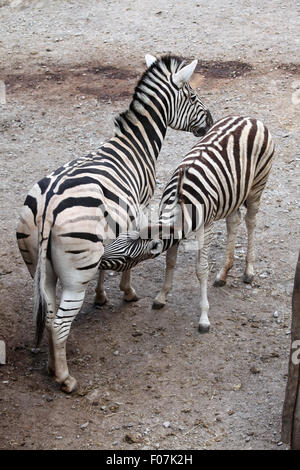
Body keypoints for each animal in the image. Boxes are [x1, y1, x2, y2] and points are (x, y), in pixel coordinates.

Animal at [16, 54, 213, 392]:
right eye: (191, 96)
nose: (211, 120)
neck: (135, 144)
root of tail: (48, 206)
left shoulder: (109, 227)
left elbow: (108, 260)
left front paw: (101, 295)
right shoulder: (140, 206)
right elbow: (131, 255)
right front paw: (127, 291)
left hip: (37, 266)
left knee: (50, 314)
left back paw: (52, 367)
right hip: (75, 273)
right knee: (60, 323)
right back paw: (65, 379)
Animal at [99, 115, 276, 332]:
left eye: (127, 258)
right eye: (115, 242)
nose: (99, 261)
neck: (179, 204)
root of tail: (250, 118)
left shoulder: (205, 228)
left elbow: (201, 269)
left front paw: (204, 317)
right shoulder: (175, 231)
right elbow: (170, 261)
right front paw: (161, 297)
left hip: (257, 185)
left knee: (251, 222)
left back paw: (249, 271)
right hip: (233, 192)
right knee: (234, 221)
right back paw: (223, 273)